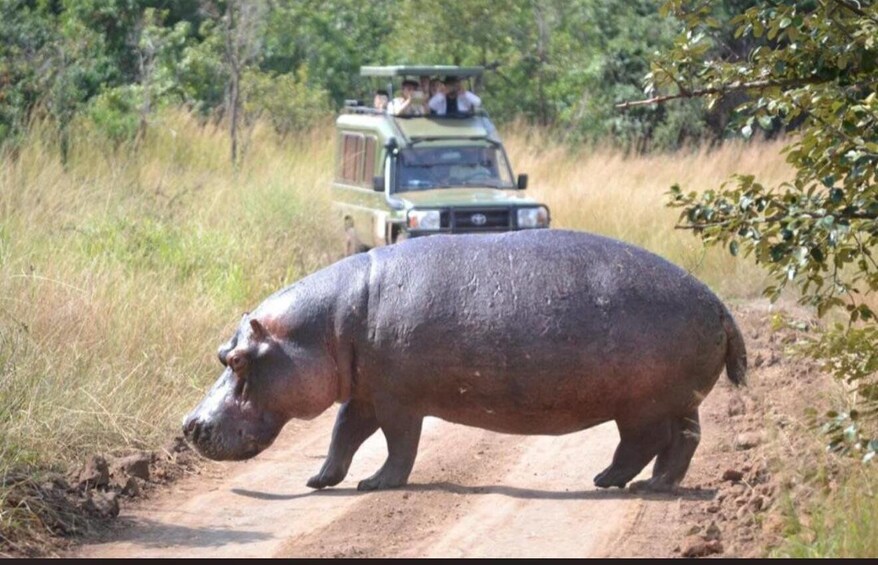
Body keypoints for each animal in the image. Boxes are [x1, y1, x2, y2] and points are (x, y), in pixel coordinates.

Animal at [183, 229, 746, 493]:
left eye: (238, 361)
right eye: (221, 353)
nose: (188, 424)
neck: (330, 323)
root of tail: (719, 303)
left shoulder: (398, 401)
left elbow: (399, 446)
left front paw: (375, 484)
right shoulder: (364, 393)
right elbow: (343, 436)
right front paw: (319, 481)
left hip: (642, 404)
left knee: (643, 442)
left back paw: (606, 481)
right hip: (681, 400)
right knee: (684, 440)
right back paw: (655, 484)